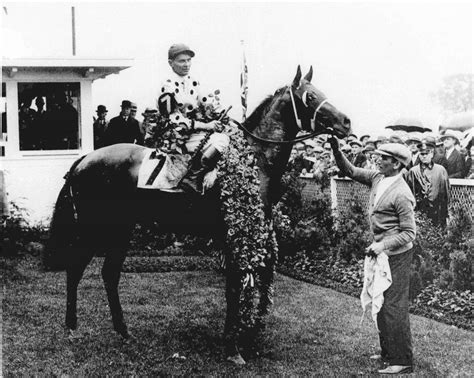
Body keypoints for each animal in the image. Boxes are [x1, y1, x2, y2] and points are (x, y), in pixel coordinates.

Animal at [47, 66, 352, 364]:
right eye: (310, 97)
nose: (346, 122)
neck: (254, 158)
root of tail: (84, 159)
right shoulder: (232, 234)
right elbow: (234, 286)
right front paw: (233, 347)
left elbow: (252, 281)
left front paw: (246, 338)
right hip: (94, 229)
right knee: (75, 269)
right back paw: (72, 328)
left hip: (121, 229)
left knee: (109, 274)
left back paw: (123, 331)